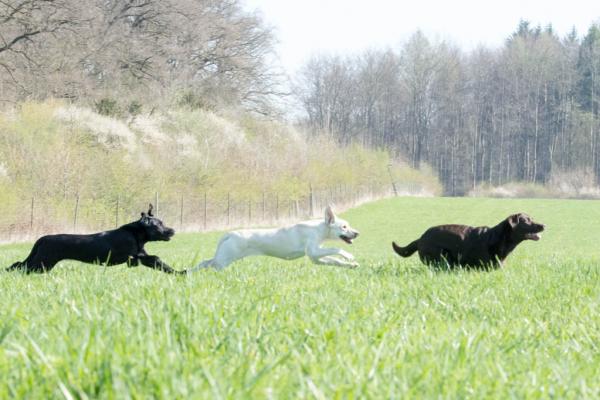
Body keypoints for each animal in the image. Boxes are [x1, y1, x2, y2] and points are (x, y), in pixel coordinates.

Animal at [6, 205, 183, 274]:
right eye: (159, 224)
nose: (172, 231)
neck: (136, 234)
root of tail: (42, 239)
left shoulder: (142, 257)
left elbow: (160, 264)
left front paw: (180, 273)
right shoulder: (134, 255)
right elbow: (156, 258)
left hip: (40, 262)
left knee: (17, 265)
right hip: (42, 263)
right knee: (20, 267)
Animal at [189, 203, 356, 272]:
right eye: (344, 227)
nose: (357, 233)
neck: (319, 228)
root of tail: (229, 234)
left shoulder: (315, 257)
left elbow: (334, 260)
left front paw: (350, 265)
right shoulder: (313, 251)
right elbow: (336, 248)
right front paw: (349, 256)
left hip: (223, 258)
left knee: (204, 263)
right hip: (223, 261)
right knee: (209, 265)